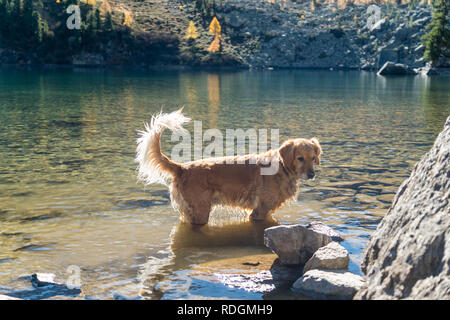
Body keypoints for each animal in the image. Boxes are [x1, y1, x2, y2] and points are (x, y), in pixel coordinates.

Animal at [135, 109, 322, 225]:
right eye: (300, 158)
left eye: (313, 158)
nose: (311, 174)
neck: (282, 168)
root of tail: (182, 167)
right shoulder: (260, 211)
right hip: (201, 211)